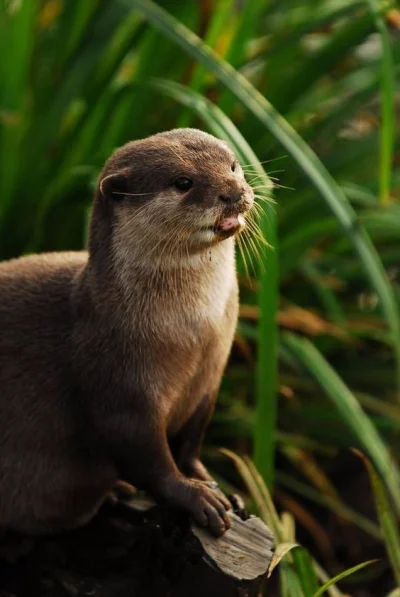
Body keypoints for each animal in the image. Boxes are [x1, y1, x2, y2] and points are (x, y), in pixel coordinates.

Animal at [0, 128, 255, 536]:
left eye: (232, 166)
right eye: (183, 182)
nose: (233, 192)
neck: (194, 334)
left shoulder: (210, 380)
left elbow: (191, 443)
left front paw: (220, 488)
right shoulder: (118, 386)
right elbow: (144, 457)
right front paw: (197, 496)